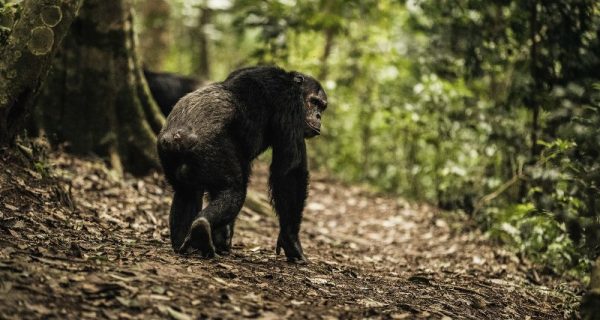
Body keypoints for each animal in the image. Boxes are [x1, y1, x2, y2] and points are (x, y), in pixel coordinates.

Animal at [158, 65, 328, 262]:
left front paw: (223, 237)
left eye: (322, 106)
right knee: (234, 190)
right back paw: (201, 228)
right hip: (211, 149)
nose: (318, 115)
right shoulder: (290, 105)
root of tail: (178, 136)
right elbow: (290, 171)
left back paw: (185, 244)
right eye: (314, 102)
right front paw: (291, 242)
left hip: (168, 156)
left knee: (186, 192)